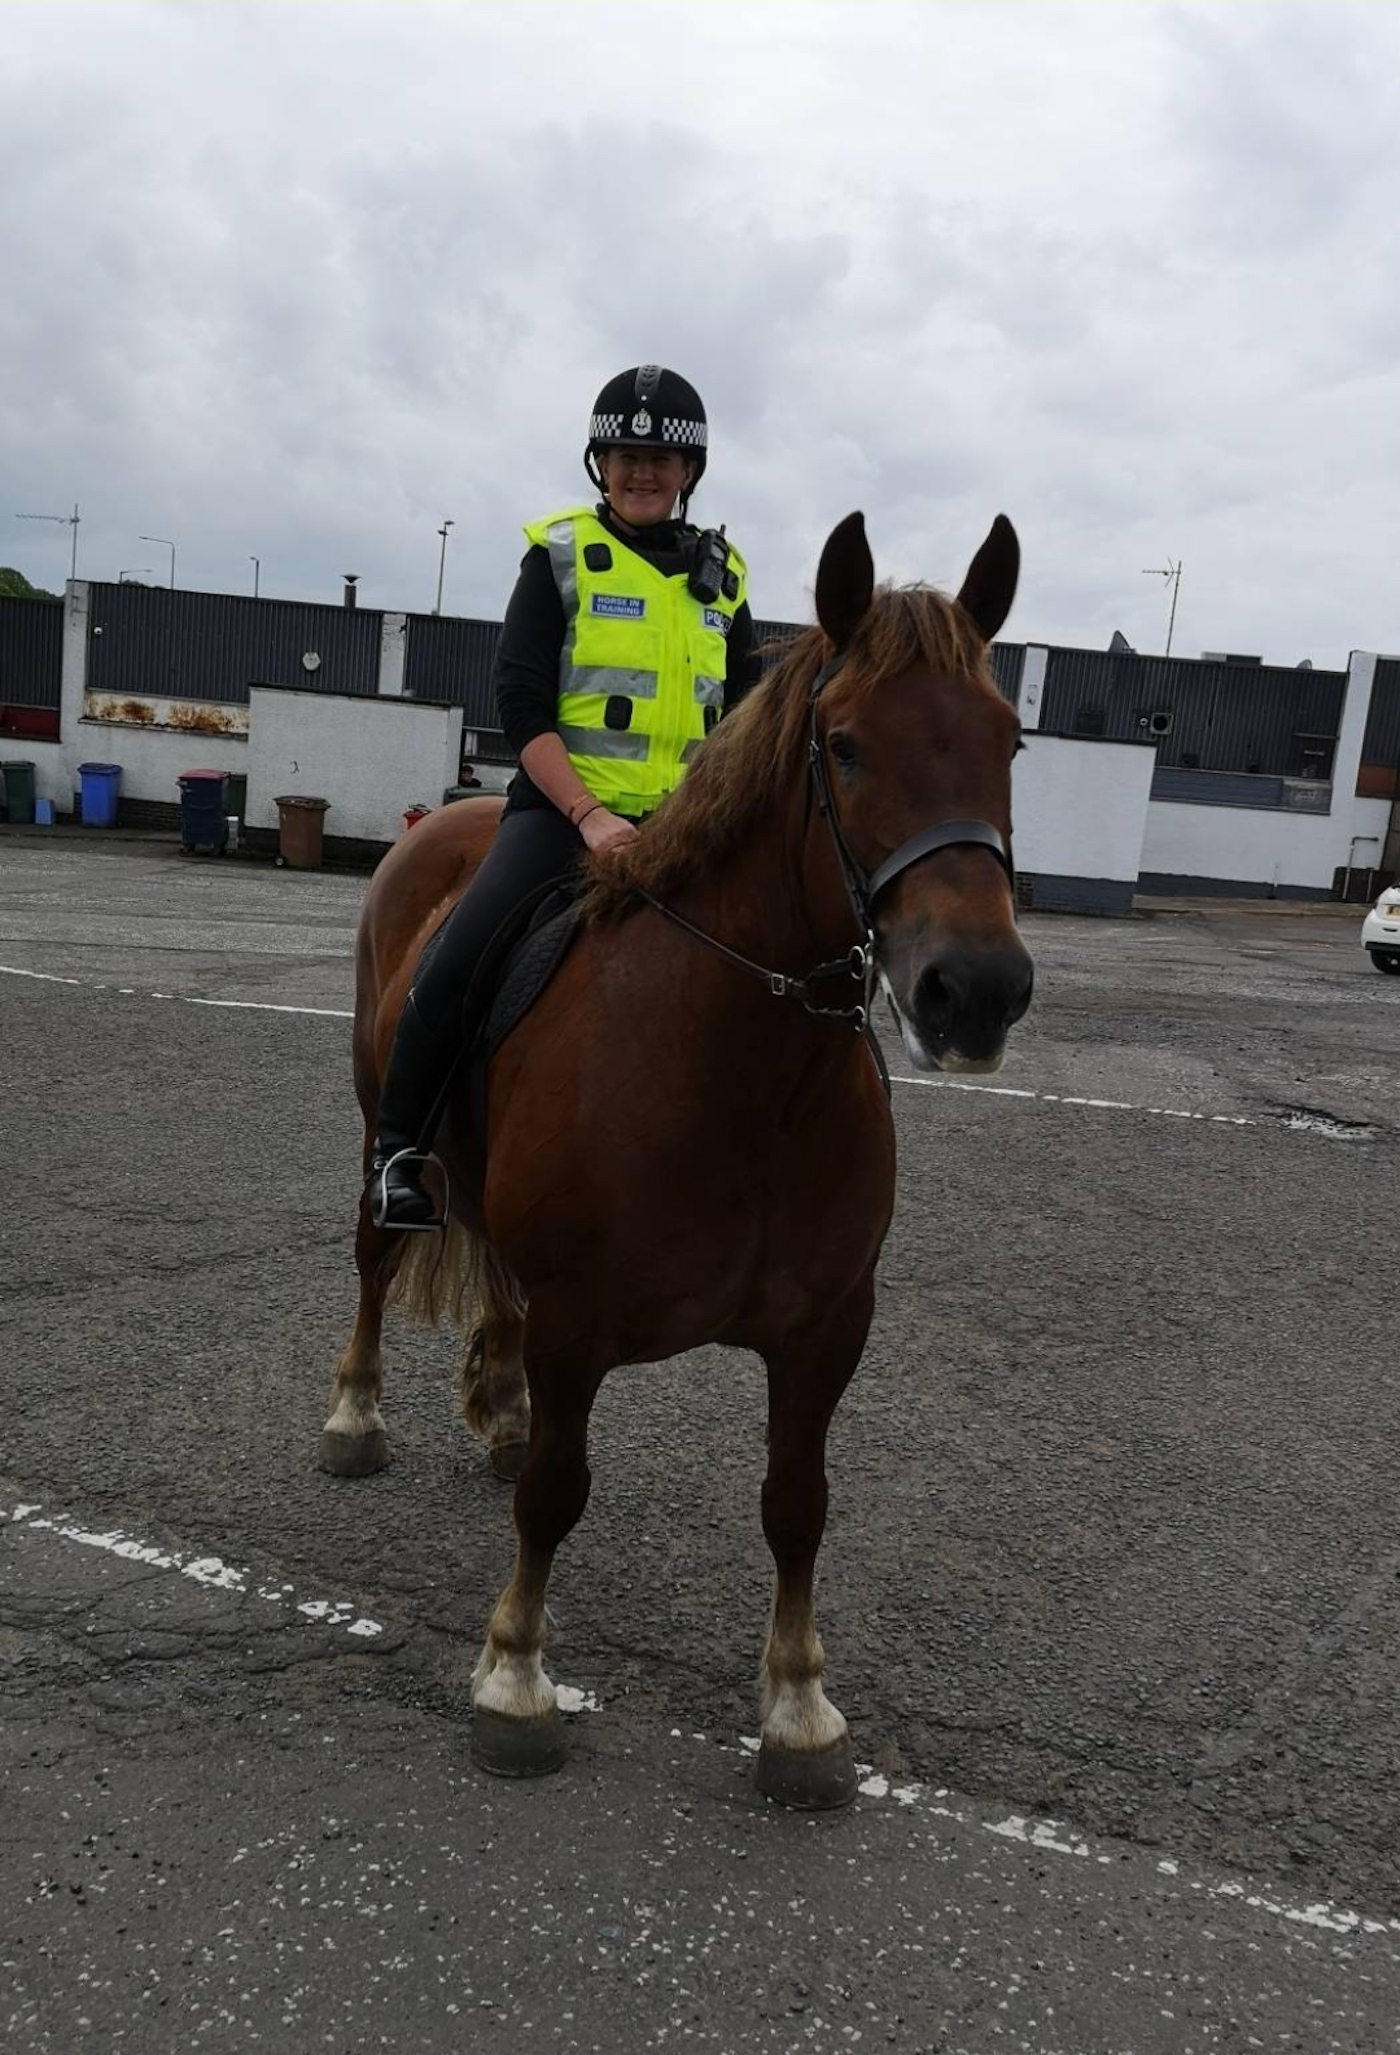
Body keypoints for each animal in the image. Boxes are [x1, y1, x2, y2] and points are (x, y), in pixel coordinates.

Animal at [323, 510, 1033, 1808]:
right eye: (844, 747)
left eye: (1007, 741)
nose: (975, 991)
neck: (741, 1072)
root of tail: (439, 826)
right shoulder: (578, 1322)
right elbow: (558, 1496)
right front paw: (515, 1678)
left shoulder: (825, 1329)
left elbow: (796, 1504)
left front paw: (798, 1708)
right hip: (379, 1132)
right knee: (370, 1258)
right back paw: (355, 1416)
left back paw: (499, 1408)